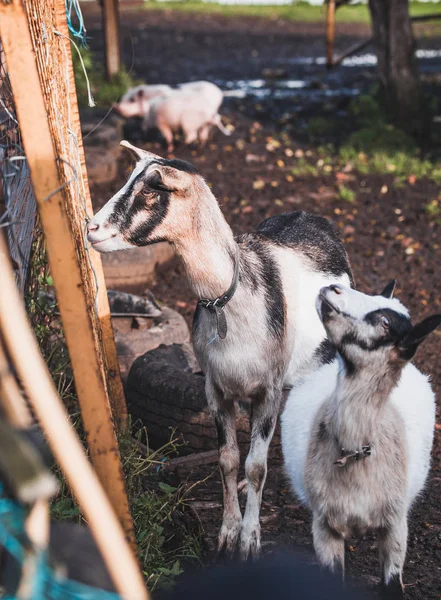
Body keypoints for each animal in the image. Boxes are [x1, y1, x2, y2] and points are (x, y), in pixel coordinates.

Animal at [87, 143, 350, 560]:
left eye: (152, 191)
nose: (91, 229)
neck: (230, 296)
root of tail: (311, 216)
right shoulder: (216, 388)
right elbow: (228, 460)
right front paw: (228, 533)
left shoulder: (268, 388)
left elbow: (256, 465)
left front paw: (250, 538)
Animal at [280, 284, 438, 596]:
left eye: (385, 323)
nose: (333, 288)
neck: (356, 454)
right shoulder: (324, 526)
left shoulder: (395, 525)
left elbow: (392, 586)